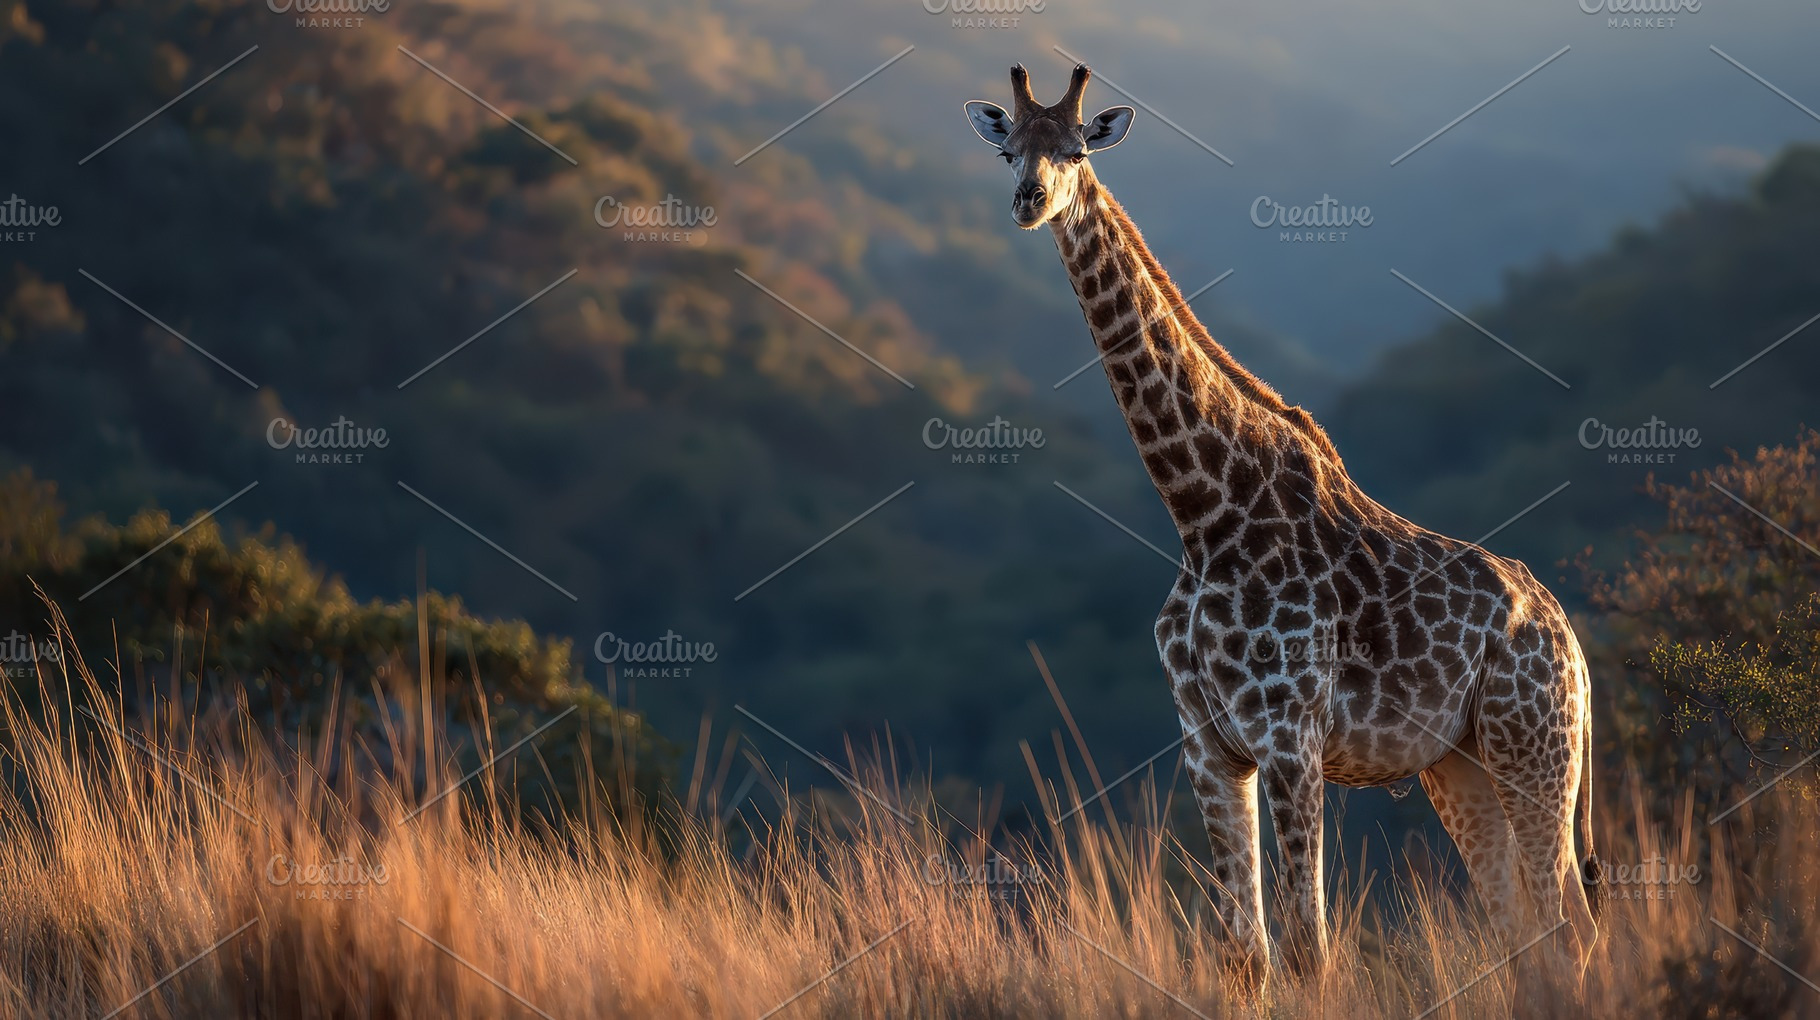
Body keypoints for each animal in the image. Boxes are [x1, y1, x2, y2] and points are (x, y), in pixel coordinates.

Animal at [965, 64, 1601, 988]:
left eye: (1079, 150)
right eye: (1009, 148)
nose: (1029, 200)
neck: (1202, 513)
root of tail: (1573, 645)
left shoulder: (1291, 737)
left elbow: (1310, 947)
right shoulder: (1207, 743)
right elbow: (1247, 953)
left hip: (1535, 748)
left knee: (1566, 927)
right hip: (1464, 764)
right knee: (1522, 927)